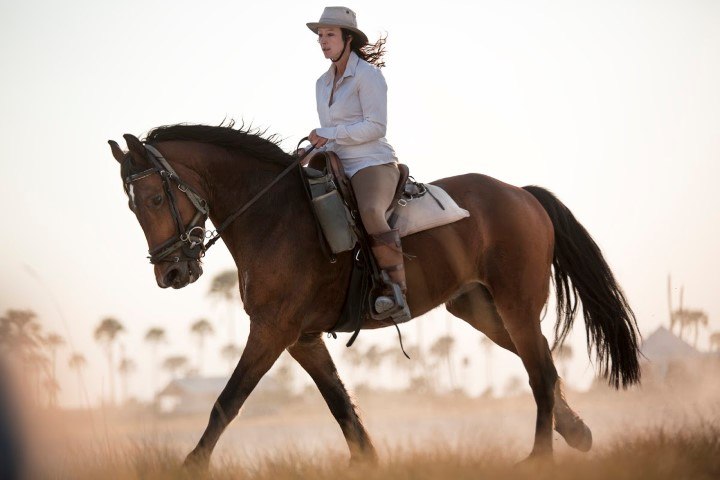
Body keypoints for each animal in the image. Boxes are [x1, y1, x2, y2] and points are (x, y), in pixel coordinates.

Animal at [108, 121, 640, 468]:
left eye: (153, 199)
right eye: (132, 207)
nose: (172, 271)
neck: (272, 215)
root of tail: (522, 194)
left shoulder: (272, 330)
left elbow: (227, 400)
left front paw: (191, 466)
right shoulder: (301, 339)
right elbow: (340, 404)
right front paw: (368, 463)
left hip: (516, 304)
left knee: (540, 372)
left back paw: (539, 457)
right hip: (481, 310)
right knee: (540, 362)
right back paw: (576, 433)